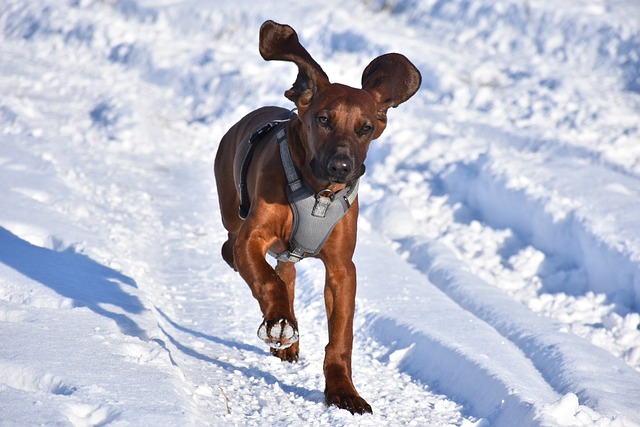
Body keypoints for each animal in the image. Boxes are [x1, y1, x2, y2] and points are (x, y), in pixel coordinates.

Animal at [215, 20, 422, 414]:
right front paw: (279, 321)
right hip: (231, 214)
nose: (342, 166)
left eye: (365, 128)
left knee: (286, 273)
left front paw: (343, 390)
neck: (318, 194)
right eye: (324, 120)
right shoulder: (252, 237)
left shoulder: (342, 268)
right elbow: (266, 280)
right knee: (237, 254)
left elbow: (341, 336)